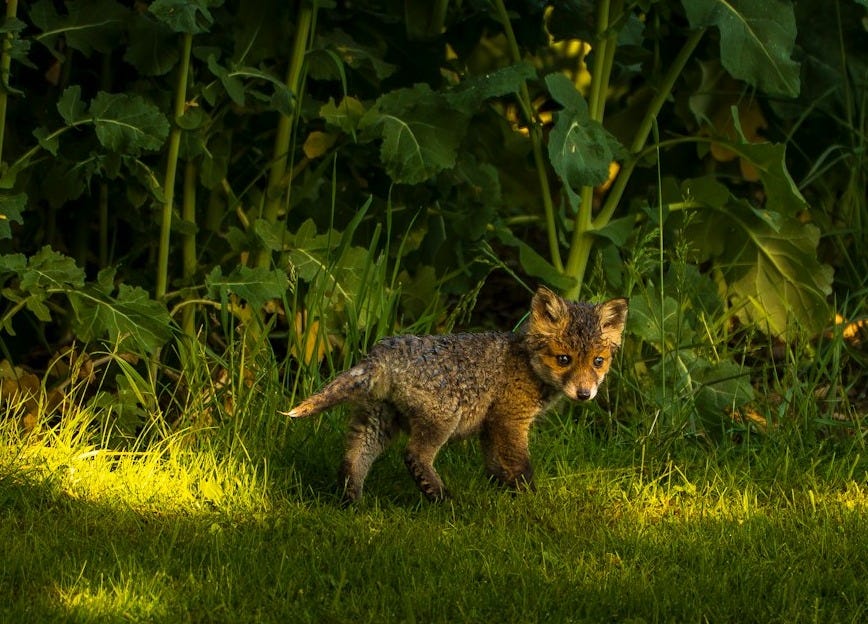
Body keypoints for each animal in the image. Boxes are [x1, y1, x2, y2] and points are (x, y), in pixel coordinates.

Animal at [282, 287, 628, 503]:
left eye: (598, 362)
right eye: (564, 359)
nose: (584, 394)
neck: (525, 364)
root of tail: (384, 352)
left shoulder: (491, 427)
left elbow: (495, 465)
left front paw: (500, 492)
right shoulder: (510, 421)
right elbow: (521, 466)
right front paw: (530, 499)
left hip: (377, 423)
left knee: (353, 459)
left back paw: (351, 501)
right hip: (441, 421)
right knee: (414, 455)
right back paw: (441, 498)